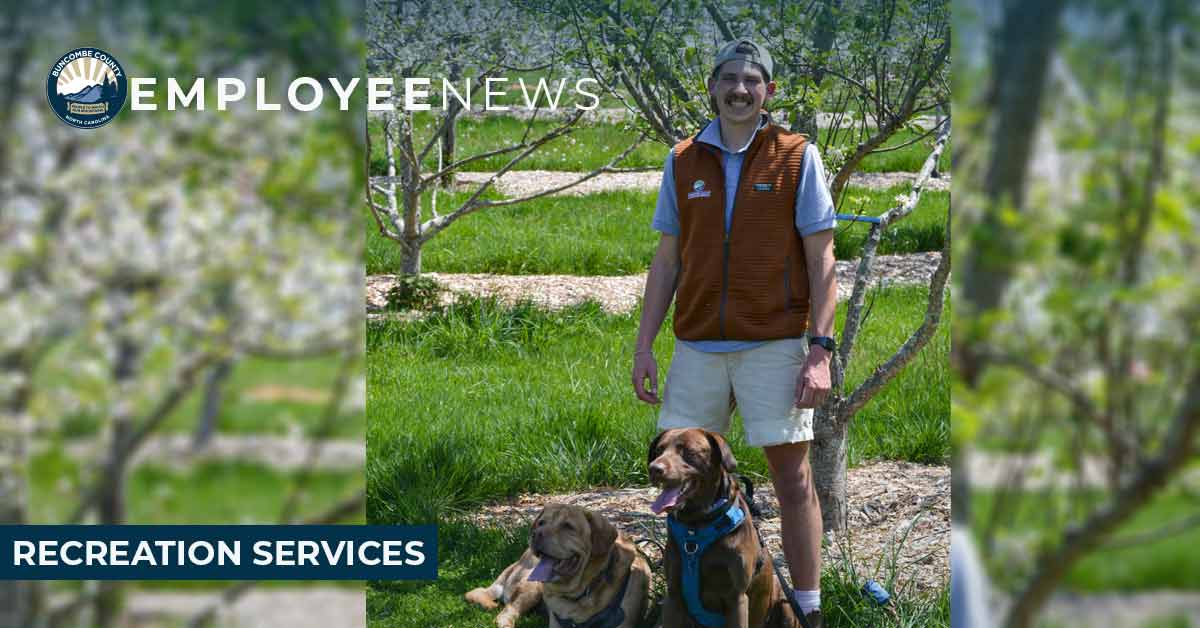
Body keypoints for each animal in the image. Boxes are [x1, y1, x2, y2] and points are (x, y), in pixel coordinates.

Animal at [465, 504, 652, 628]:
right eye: (541, 523)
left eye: (568, 526)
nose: (535, 534)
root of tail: (518, 561)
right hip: (531, 586)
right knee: (506, 612)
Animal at [648, 429, 796, 628]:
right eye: (659, 450)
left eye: (689, 451)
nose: (654, 468)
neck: (696, 525)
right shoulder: (673, 595)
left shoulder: (736, 598)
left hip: (786, 604)